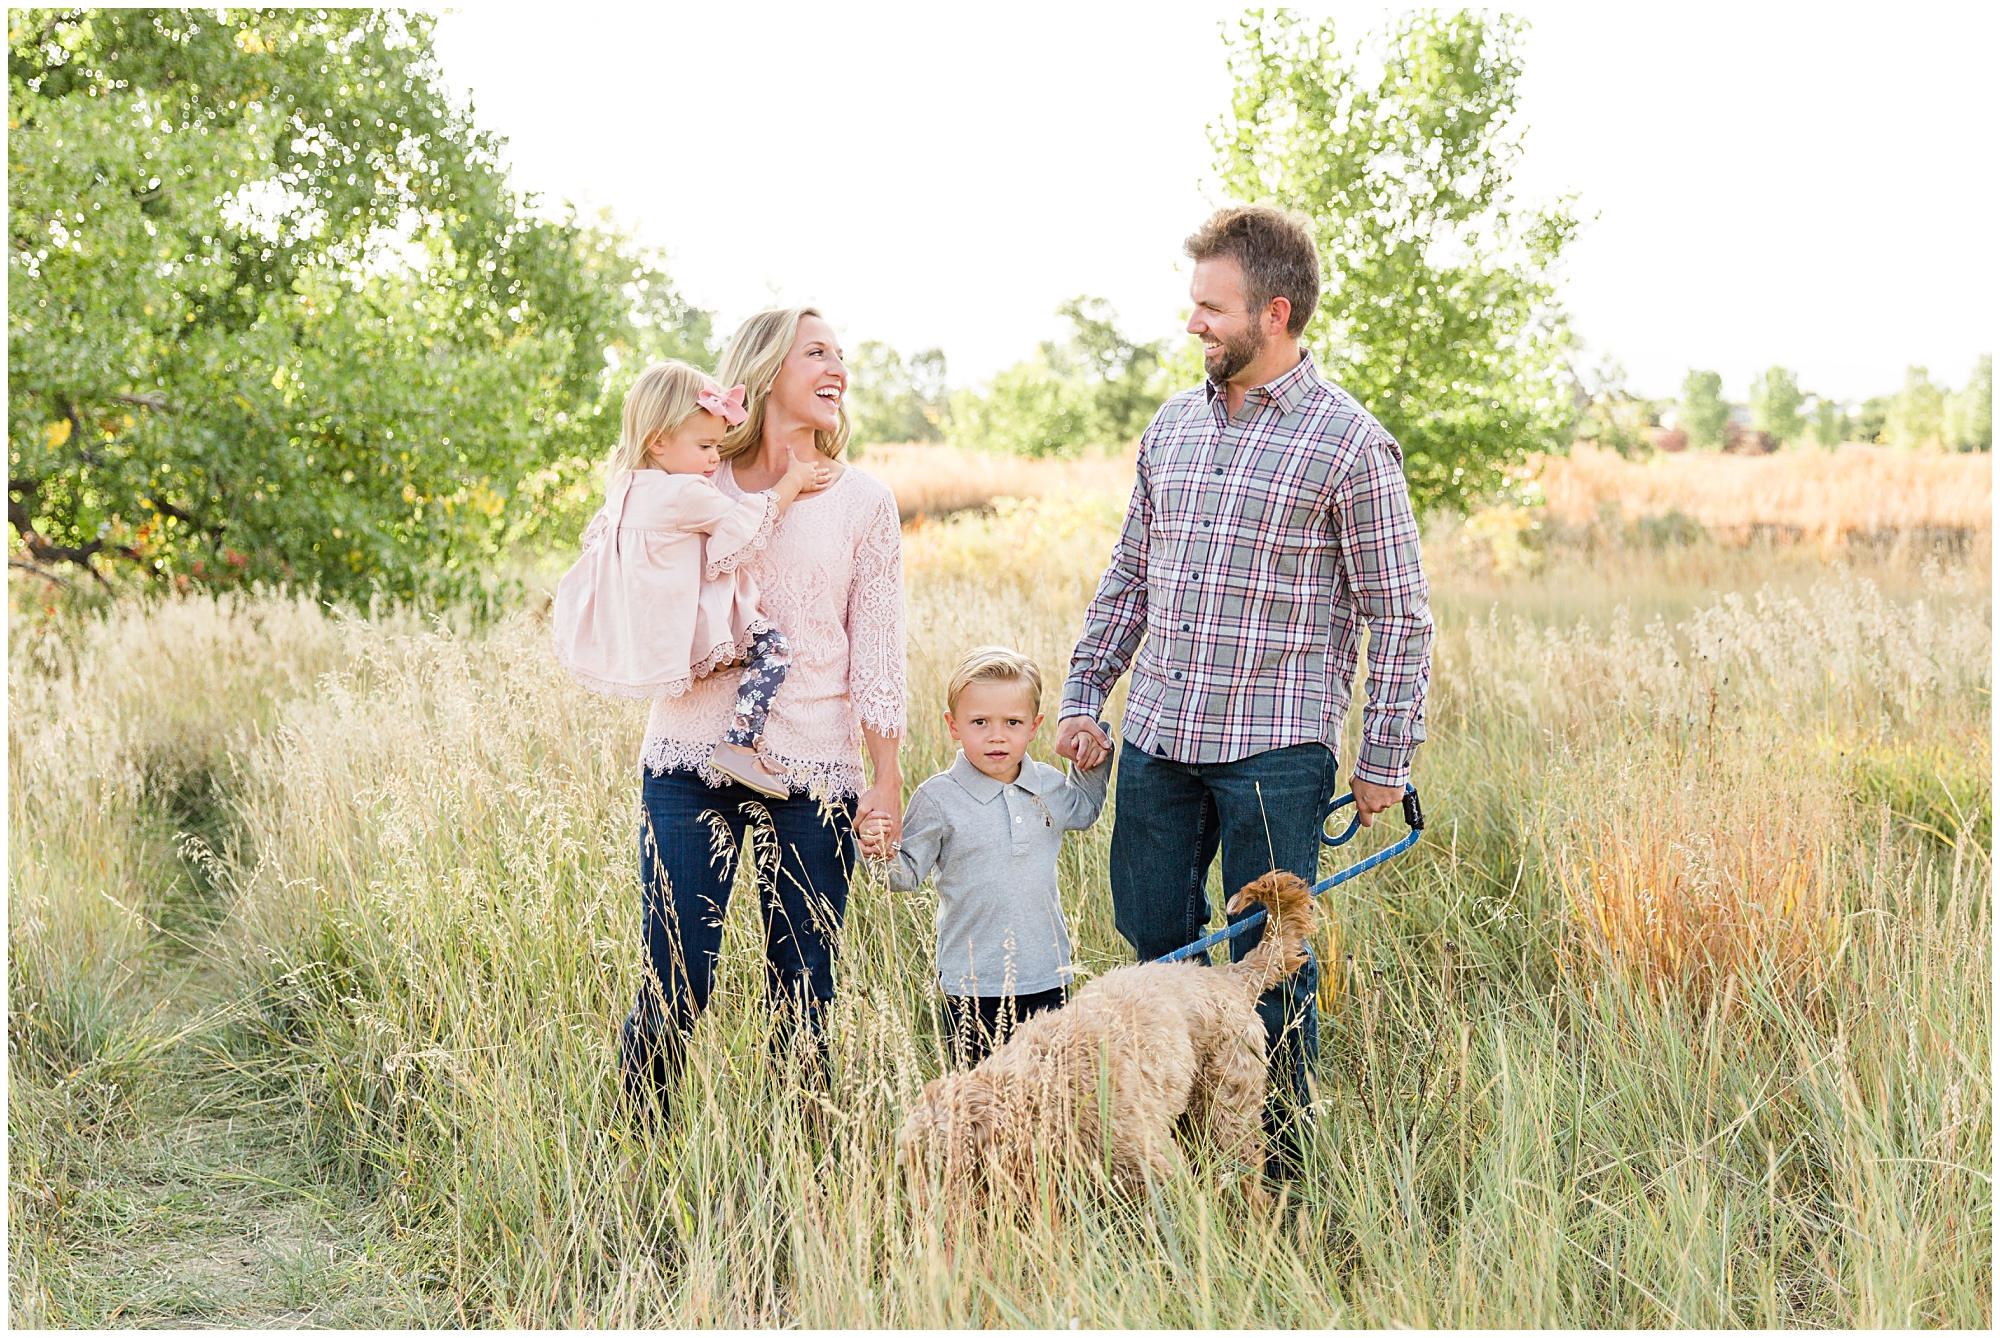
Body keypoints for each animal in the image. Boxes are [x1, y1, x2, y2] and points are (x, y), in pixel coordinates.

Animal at [904, 868, 1312, 1208]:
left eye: (939, 1164)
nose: (920, 1215)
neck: (1047, 1086)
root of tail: (1231, 976)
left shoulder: (1153, 1165)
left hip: (1227, 1112)